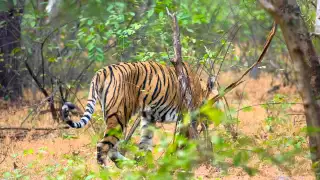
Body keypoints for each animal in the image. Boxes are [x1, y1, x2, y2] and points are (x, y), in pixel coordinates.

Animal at [62, 60, 218, 167]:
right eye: (217, 100)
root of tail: (102, 71)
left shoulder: (149, 117)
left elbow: (145, 144)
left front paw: (144, 166)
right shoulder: (186, 116)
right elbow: (185, 140)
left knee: (112, 149)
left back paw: (129, 166)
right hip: (119, 116)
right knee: (103, 147)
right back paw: (108, 172)